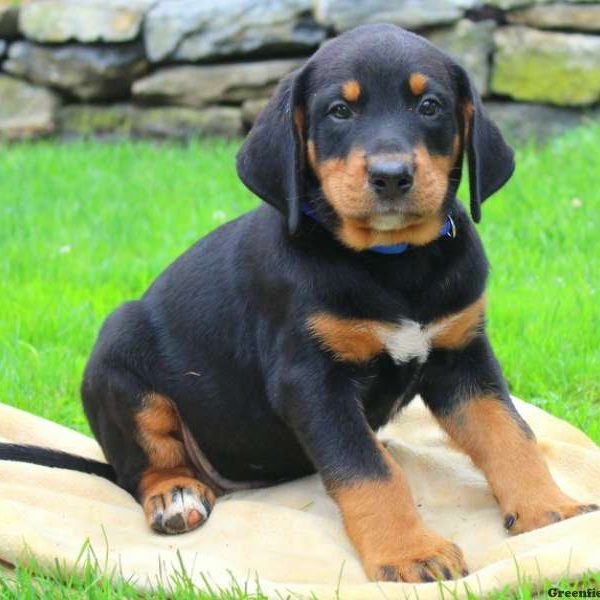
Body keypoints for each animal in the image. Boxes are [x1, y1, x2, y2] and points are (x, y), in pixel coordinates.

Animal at [3, 24, 596, 580]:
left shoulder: (463, 354)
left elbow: (510, 434)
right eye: (340, 110)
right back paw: (175, 496)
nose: (391, 176)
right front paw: (410, 553)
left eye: (429, 106)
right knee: (142, 468)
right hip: (119, 358)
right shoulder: (310, 379)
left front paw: (549, 510)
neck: (391, 263)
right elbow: (365, 471)